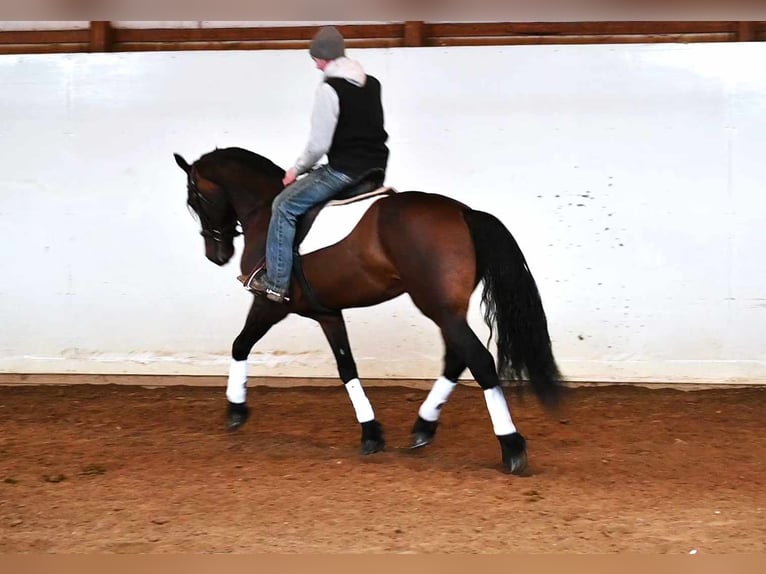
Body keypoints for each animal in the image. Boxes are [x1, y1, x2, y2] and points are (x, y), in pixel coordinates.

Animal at [176, 148, 564, 476]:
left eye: (194, 200)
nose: (216, 254)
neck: (265, 210)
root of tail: (463, 212)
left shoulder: (269, 302)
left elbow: (240, 344)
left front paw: (235, 409)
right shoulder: (328, 313)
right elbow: (347, 367)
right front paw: (371, 433)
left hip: (438, 308)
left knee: (479, 360)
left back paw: (511, 446)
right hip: (447, 310)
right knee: (457, 359)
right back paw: (423, 427)